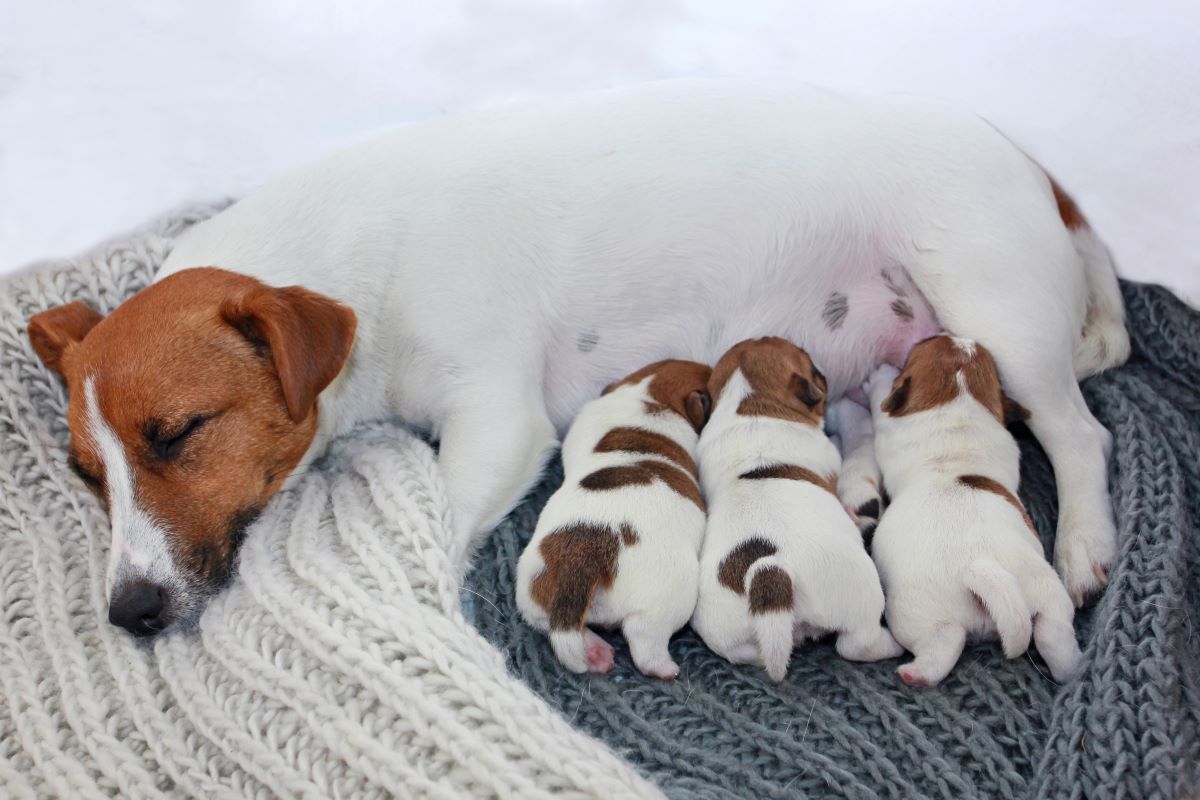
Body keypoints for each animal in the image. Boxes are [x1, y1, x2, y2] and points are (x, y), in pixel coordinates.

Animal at [516, 359, 710, 681]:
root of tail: (585, 558)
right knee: (644, 640)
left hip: (533, 589)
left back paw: (594, 651)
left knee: (552, 624)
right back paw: (663, 668)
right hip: (672, 596)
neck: (650, 395)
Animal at [686, 338, 902, 681]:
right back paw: (892, 644)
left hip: (726, 634)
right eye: (812, 365)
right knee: (855, 644)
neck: (753, 403)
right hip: (861, 592)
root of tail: (772, 572)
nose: (825, 373)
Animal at [864, 335, 1089, 690]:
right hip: (1049, 597)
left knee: (943, 643)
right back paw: (1074, 670)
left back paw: (916, 674)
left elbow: (879, 406)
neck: (959, 403)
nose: (958, 337)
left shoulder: (889, 426)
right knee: (1053, 636)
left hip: (917, 613)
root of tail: (983, 573)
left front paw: (878, 379)